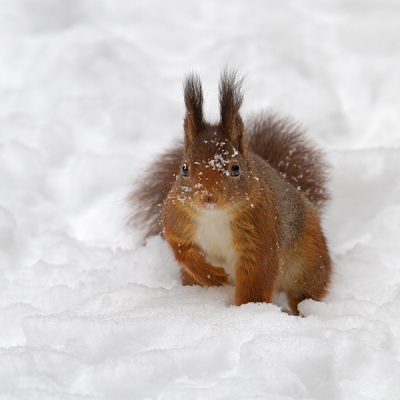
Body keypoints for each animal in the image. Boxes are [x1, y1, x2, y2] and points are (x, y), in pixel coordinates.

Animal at [130, 69, 332, 316]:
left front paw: (248, 310)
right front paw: (212, 275)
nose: (208, 199)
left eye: (235, 168)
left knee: (303, 294)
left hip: (309, 262)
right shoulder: (176, 215)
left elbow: (257, 276)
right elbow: (180, 246)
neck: (214, 216)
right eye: (184, 168)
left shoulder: (259, 232)